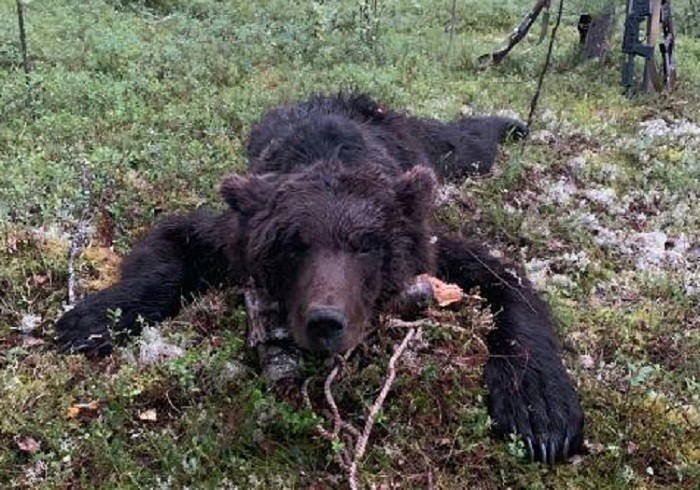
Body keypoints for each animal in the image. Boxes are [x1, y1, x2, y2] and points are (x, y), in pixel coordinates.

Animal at [54, 92, 584, 464]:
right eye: (293, 243)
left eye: (367, 244)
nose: (325, 320)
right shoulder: (231, 233)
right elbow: (169, 244)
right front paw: (91, 319)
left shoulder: (428, 249)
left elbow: (504, 277)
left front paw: (540, 412)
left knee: (463, 143)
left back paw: (510, 124)